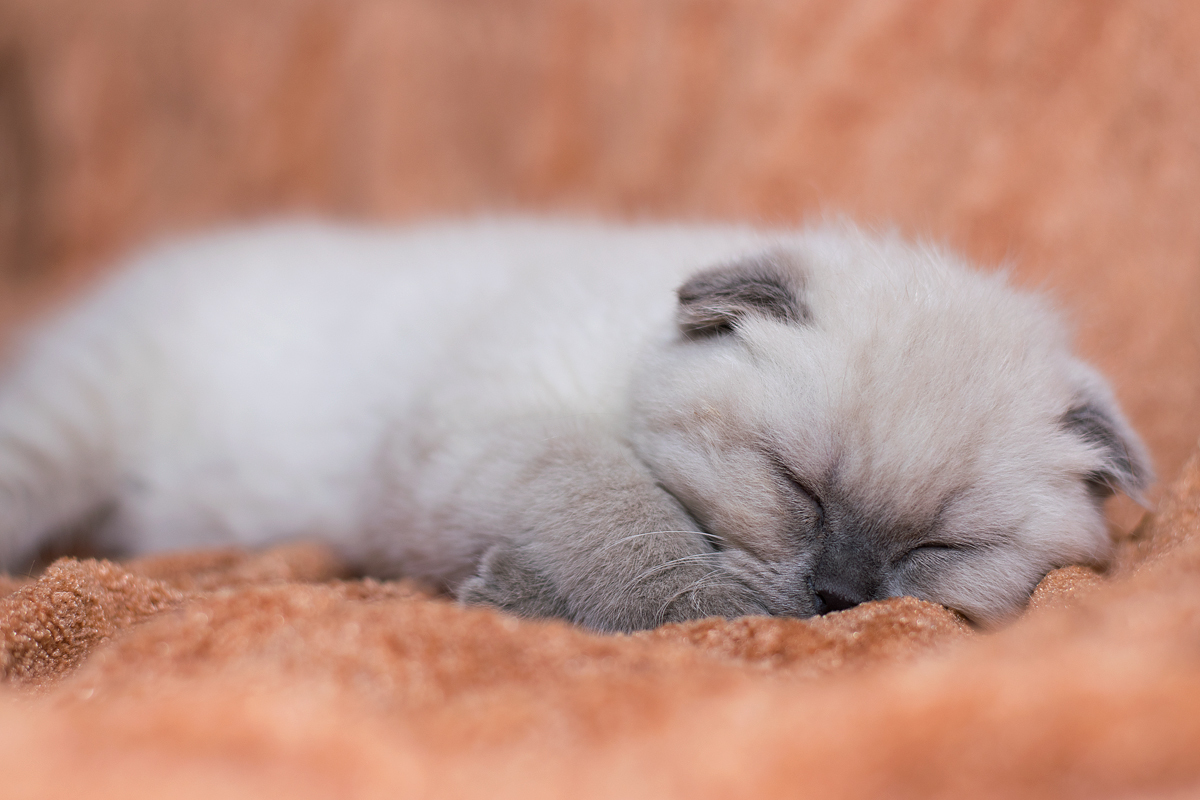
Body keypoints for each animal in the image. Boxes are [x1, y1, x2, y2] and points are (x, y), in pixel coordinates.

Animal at [0, 219, 1147, 633]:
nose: (837, 599)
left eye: (937, 549)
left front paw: (508, 593)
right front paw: (703, 612)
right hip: (66, 433)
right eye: (796, 487)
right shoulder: (499, 434)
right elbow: (621, 519)